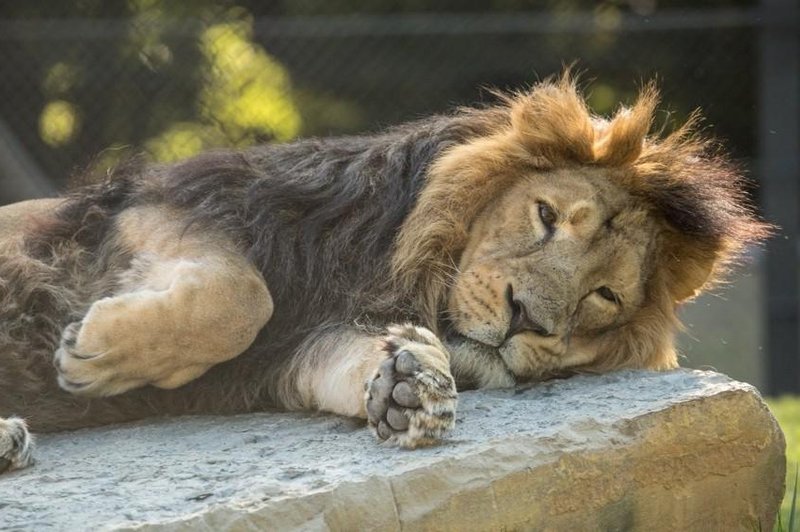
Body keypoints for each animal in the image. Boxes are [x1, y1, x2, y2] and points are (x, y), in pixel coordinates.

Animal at [0, 72, 768, 472]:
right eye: (547, 216)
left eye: (605, 294)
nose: (526, 315)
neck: (400, 275)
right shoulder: (165, 203)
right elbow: (242, 296)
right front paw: (91, 355)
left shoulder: (291, 353)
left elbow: (332, 358)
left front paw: (410, 387)